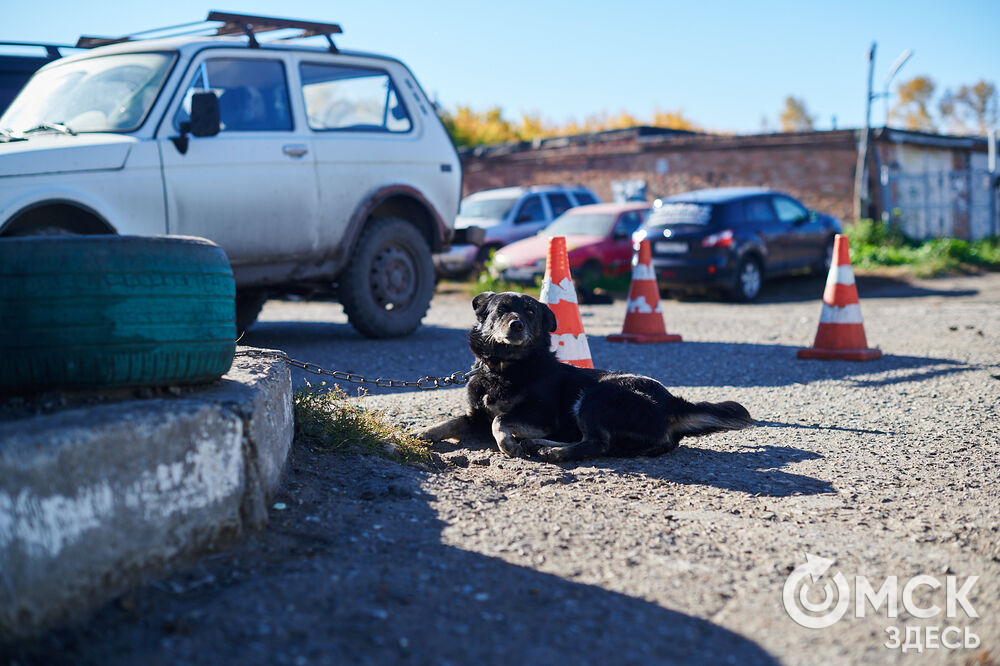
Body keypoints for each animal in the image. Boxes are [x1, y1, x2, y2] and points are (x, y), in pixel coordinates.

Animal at [414, 290, 752, 462]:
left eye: (530, 312)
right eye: (501, 309)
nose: (516, 325)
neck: (503, 368)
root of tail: (673, 404)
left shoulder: (540, 415)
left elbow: (500, 419)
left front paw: (507, 443)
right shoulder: (474, 417)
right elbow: (450, 422)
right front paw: (421, 433)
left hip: (597, 397)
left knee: (596, 444)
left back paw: (551, 450)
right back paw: (537, 443)